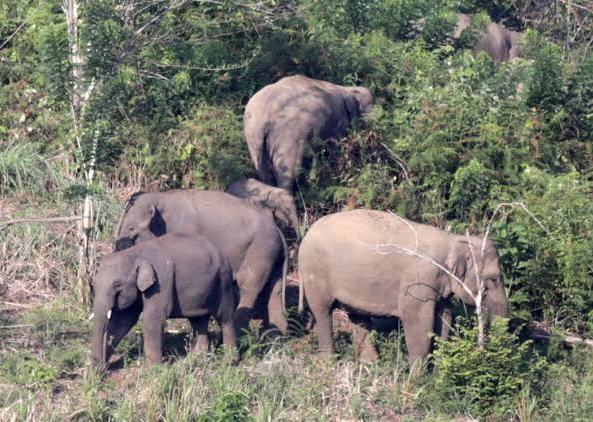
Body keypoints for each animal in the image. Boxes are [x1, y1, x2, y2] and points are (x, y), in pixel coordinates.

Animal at [90, 231, 236, 366]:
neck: (135, 253)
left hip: (223, 281)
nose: (99, 370)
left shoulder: (160, 282)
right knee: (199, 320)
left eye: (117, 285)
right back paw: (194, 360)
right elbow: (123, 321)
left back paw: (229, 362)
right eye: (94, 284)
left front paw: (153, 369)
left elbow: (152, 319)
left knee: (225, 318)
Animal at [114, 190, 290, 336]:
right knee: (275, 291)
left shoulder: (184, 229)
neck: (161, 197)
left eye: (131, 228)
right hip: (273, 256)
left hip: (260, 251)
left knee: (249, 287)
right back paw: (276, 337)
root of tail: (280, 232)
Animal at [243, 75, 372, 194]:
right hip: (289, 136)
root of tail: (263, 118)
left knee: (263, 172)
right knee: (288, 171)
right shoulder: (339, 122)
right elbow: (336, 149)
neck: (346, 89)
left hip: (253, 138)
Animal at [298, 209, 506, 362]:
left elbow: (444, 318)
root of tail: (306, 234)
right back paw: (328, 362)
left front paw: (437, 376)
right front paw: (416, 383)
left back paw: (370, 363)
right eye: (494, 278)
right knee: (323, 312)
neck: (452, 240)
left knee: (358, 316)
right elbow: (417, 322)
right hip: (314, 273)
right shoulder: (418, 281)